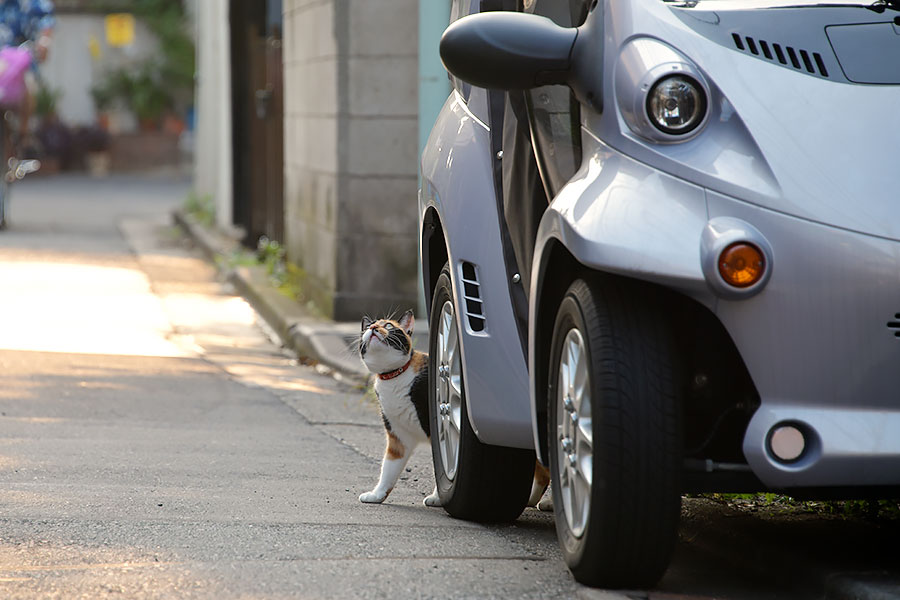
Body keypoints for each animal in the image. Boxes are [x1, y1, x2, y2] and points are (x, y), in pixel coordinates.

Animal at [358, 310, 442, 506]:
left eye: (388, 325)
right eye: (368, 326)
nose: (373, 327)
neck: (394, 377)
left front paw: (438, 497)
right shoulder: (398, 435)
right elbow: (389, 467)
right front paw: (377, 494)